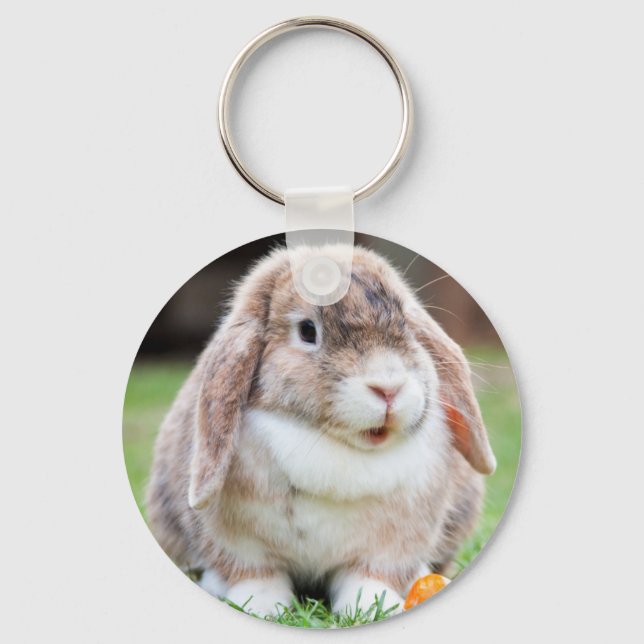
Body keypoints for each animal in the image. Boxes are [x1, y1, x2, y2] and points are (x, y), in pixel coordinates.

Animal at [145, 244, 496, 617]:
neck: (334, 446)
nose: (388, 388)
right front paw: (262, 608)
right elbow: (256, 576)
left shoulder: (391, 545)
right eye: (307, 331)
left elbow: (369, 577)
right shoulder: (240, 545)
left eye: (405, 322)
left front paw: (372, 607)